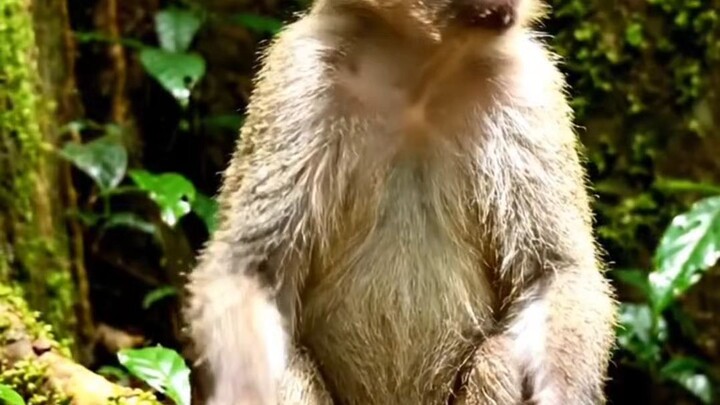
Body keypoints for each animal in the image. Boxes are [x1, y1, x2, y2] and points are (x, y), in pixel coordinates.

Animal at [185, 0, 618, 404]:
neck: (418, 71)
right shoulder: (299, 72)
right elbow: (251, 270)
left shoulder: (527, 85)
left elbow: (553, 273)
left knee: (499, 357)